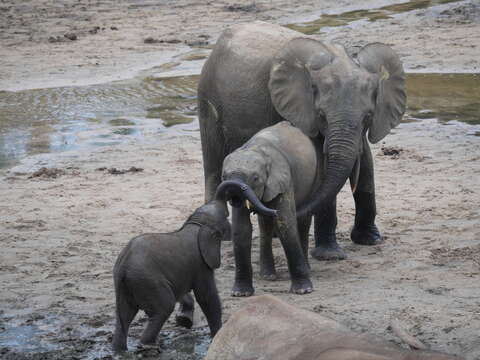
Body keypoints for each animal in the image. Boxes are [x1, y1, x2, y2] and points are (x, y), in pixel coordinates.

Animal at [113, 201, 232, 352]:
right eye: (226, 218)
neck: (197, 223)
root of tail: (124, 266)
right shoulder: (201, 264)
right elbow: (206, 296)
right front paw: (216, 336)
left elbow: (180, 290)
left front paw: (184, 321)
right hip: (147, 281)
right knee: (165, 306)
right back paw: (149, 346)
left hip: (126, 284)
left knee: (123, 316)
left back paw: (119, 350)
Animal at [198, 22, 404, 264]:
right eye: (321, 115)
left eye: (368, 117)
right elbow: (322, 166)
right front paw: (330, 256)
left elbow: (366, 163)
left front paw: (370, 240)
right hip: (207, 99)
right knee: (212, 164)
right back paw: (224, 235)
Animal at [216, 121, 320, 296]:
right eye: (224, 176)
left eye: (255, 178)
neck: (256, 149)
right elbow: (242, 229)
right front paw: (240, 293)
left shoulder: (284, 179)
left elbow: (285, 223)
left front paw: (303, 290)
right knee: (265, 225)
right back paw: (268, 276)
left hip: (313, 178)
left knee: (303, 220)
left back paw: (307, 270)